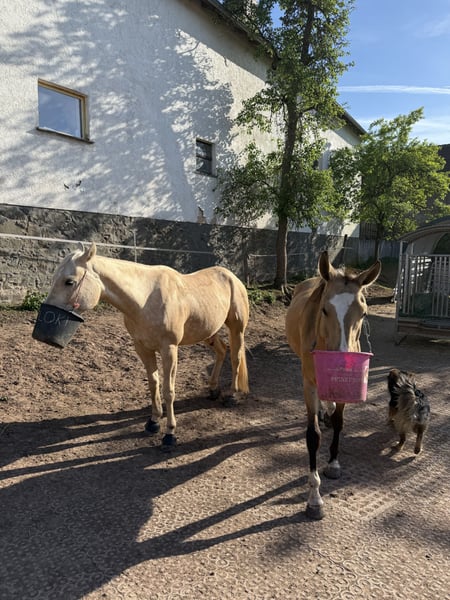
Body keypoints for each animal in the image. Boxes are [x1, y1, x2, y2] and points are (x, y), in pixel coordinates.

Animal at [42, 242, 249, 449]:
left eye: (69, 281)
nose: (48, 313)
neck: (146, 299)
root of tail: (231, 277)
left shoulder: (169, 349)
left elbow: (168, 391)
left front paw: (170, 433)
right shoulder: (143, 348)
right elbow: (153, 383)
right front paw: (153, 422)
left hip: (236, 329)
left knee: (235, 357)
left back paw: (232, 395)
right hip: (208, 332)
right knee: (221, 351)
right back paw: (214, 390)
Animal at [285, 251, 381, 519]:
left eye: (363, 313)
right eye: (325, 310)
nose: (342, 359)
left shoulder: (344, 387)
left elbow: (339, 421)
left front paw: (334, 463)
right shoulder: (309, 384)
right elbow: (313, 436)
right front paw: (314, 499)